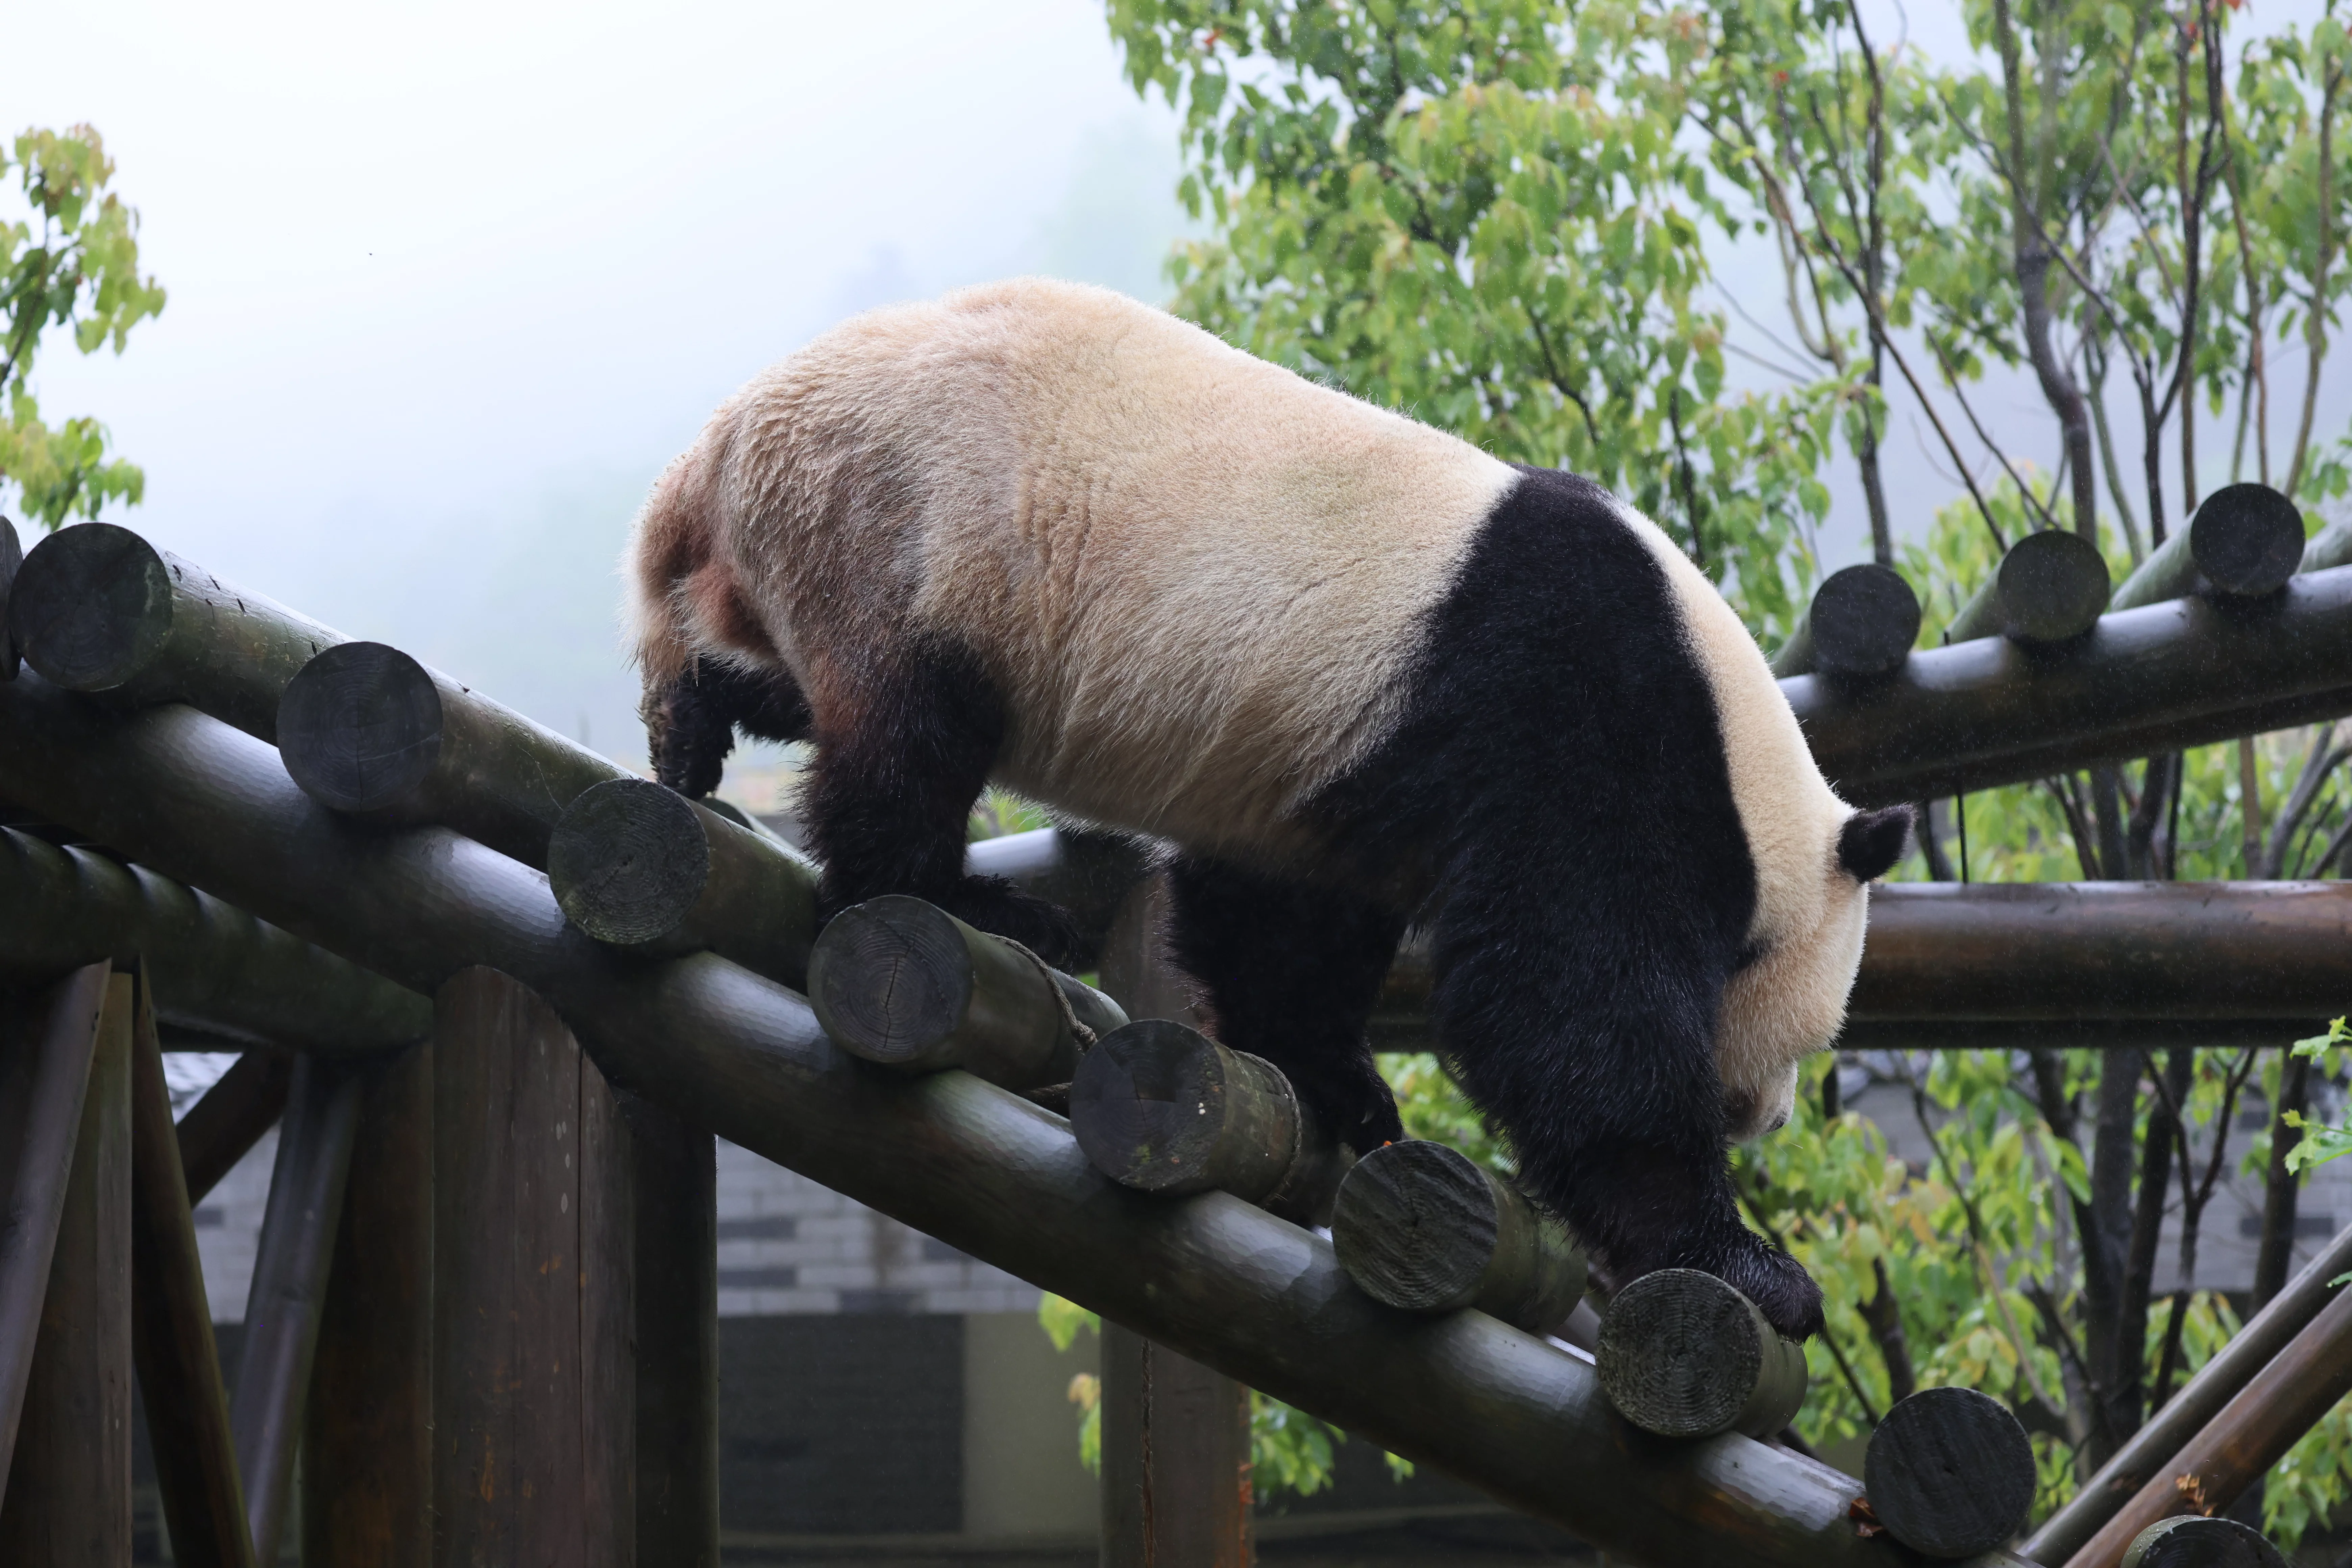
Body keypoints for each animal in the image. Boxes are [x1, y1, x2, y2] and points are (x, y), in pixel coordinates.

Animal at [626, 277, 1910, 1341]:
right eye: (1810, 1038)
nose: (1767, 1116)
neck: (1738, 758)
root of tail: (715, 450)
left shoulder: (1329, 767)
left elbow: (1282, 921)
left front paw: (1344, 1084)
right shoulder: (1574, 712)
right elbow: (1570, 998)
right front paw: (1747, 1262)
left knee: (784, 681)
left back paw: (691, 717)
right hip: (912, 527)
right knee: (906, 746)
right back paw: (969, 903)